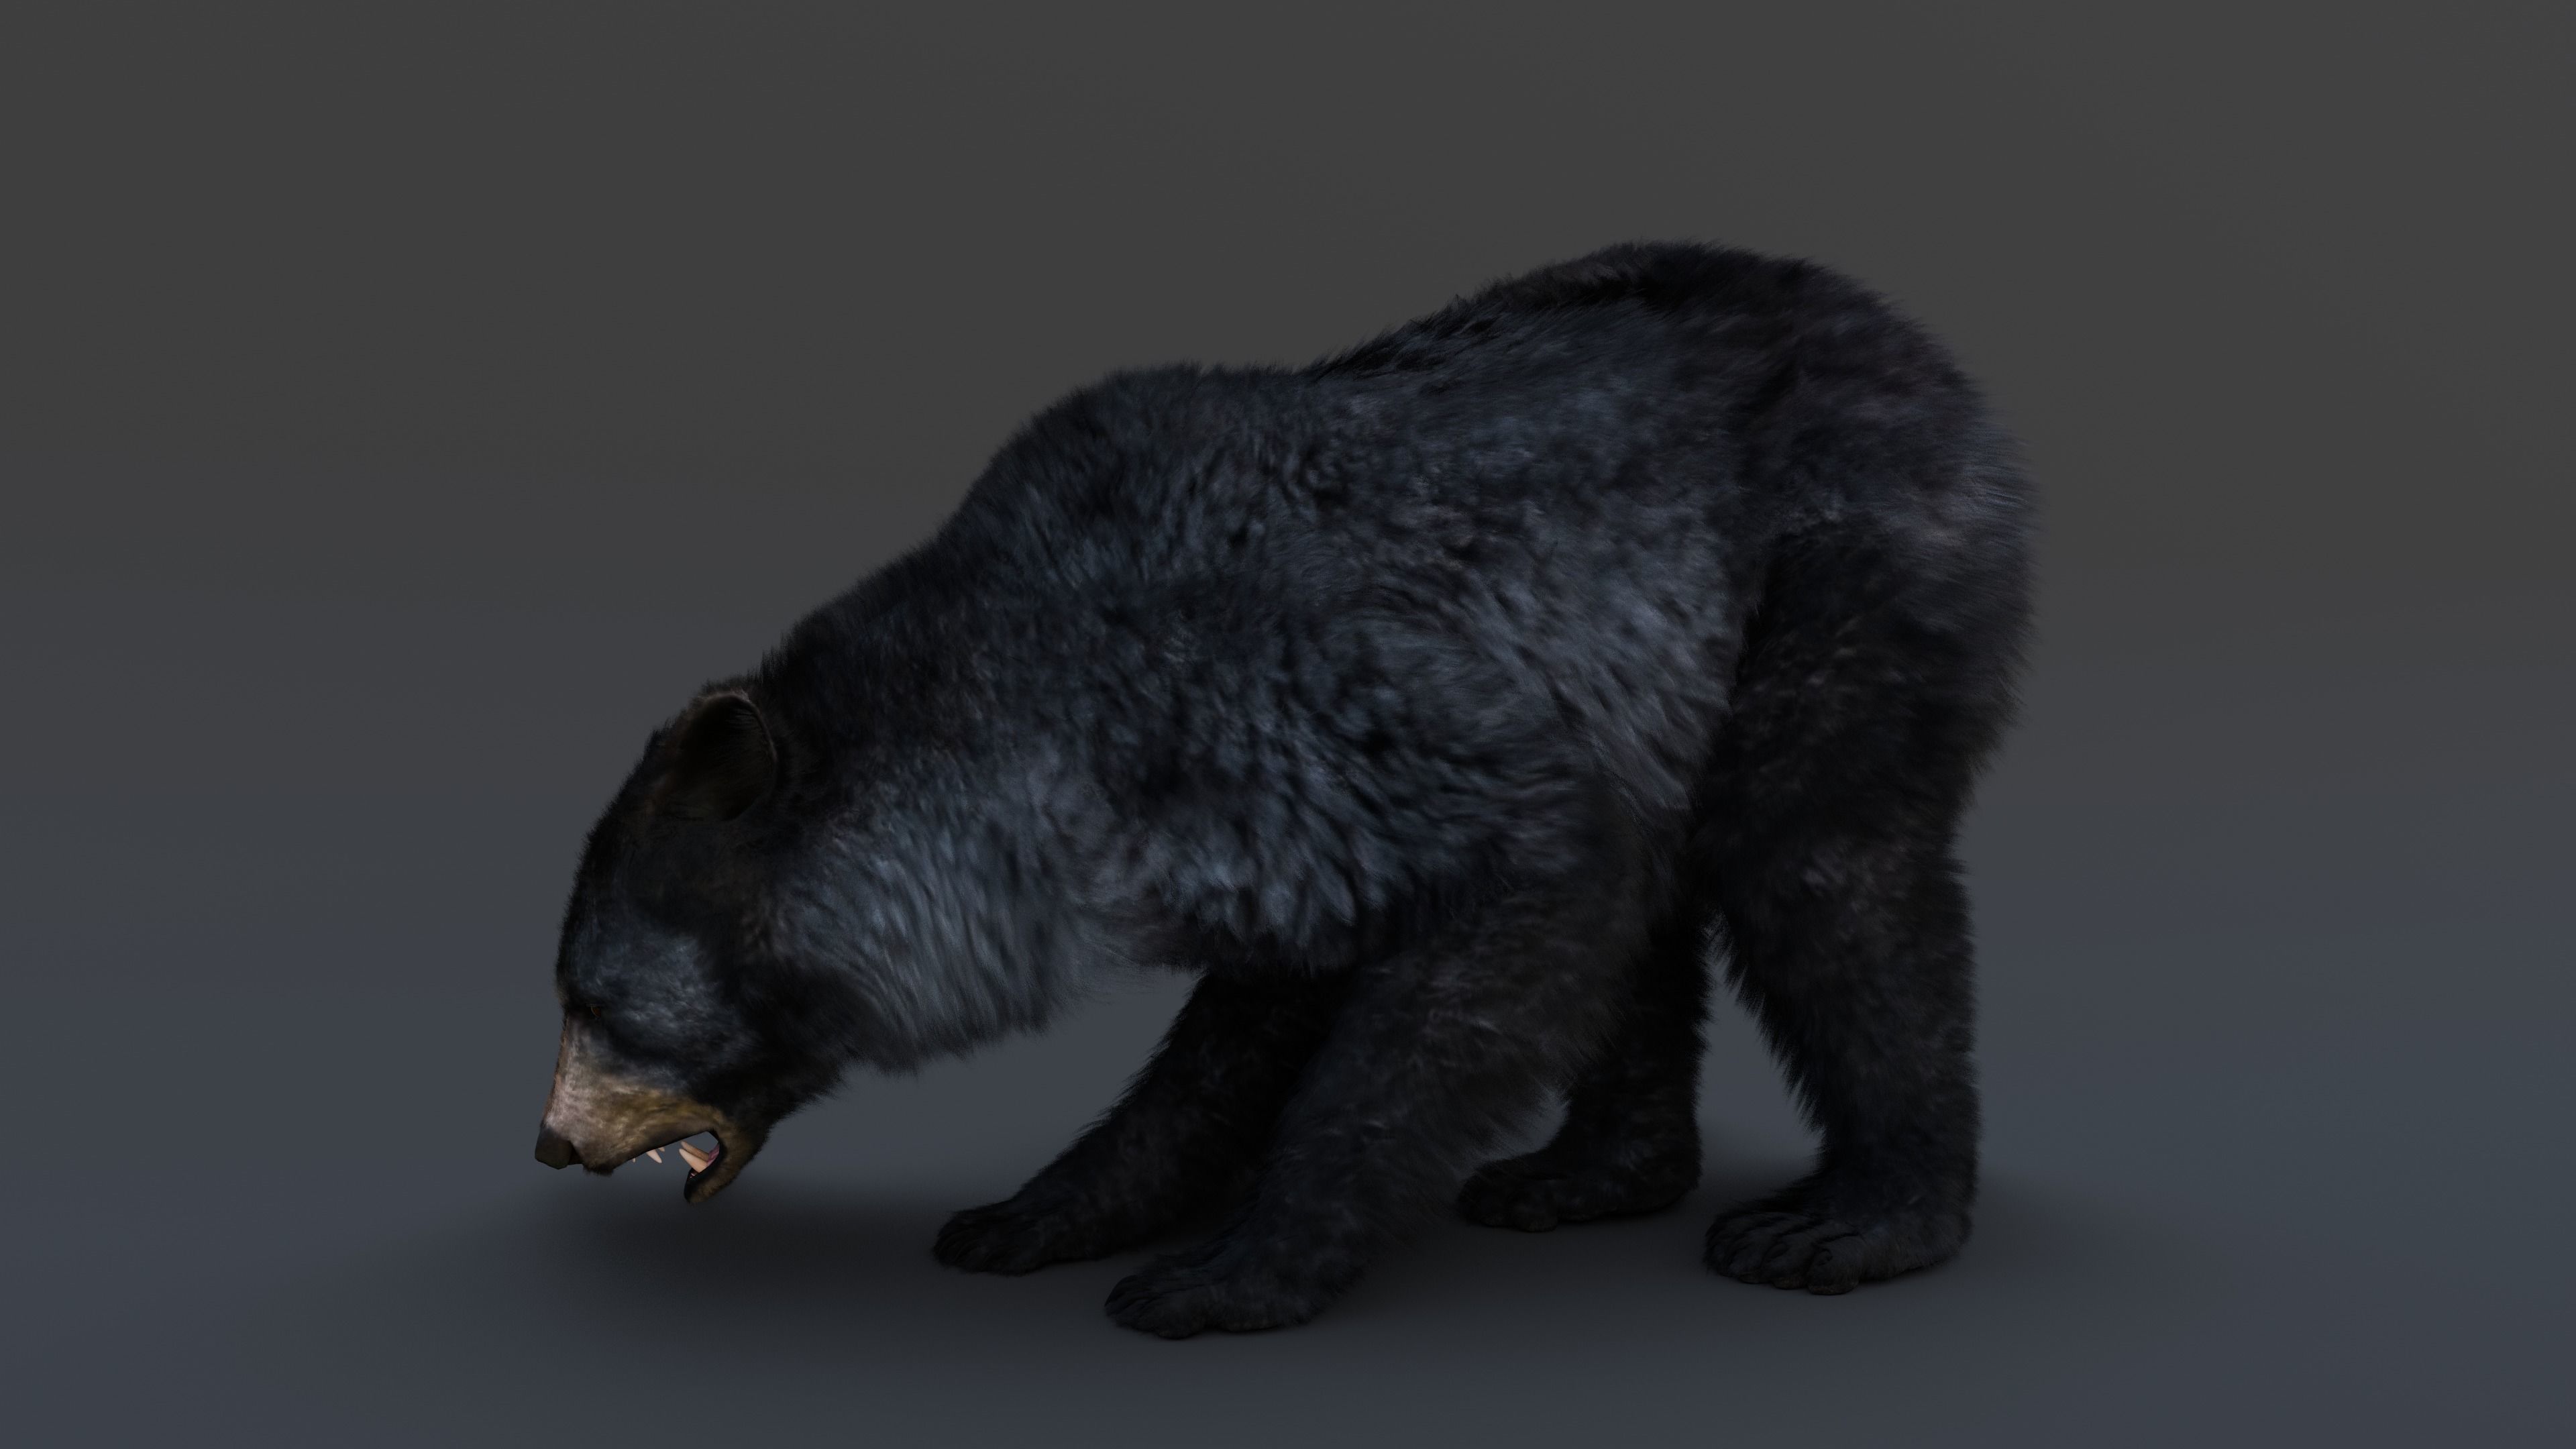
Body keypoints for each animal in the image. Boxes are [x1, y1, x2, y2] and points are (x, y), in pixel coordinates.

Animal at [531, 240, 2035, 1338]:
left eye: (596, 1000)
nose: (550, 1142)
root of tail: (1894, 324)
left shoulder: (1295, 689)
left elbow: (1524, 880)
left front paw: (1231, 1270)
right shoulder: (1256, 818)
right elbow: (1254, 1017)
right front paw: (1041, 1213)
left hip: (1834, 565)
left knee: (1820, 860)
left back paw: (1854, 1217)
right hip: (1657, 671)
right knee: (1660, 894)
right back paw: (1589, 1172)